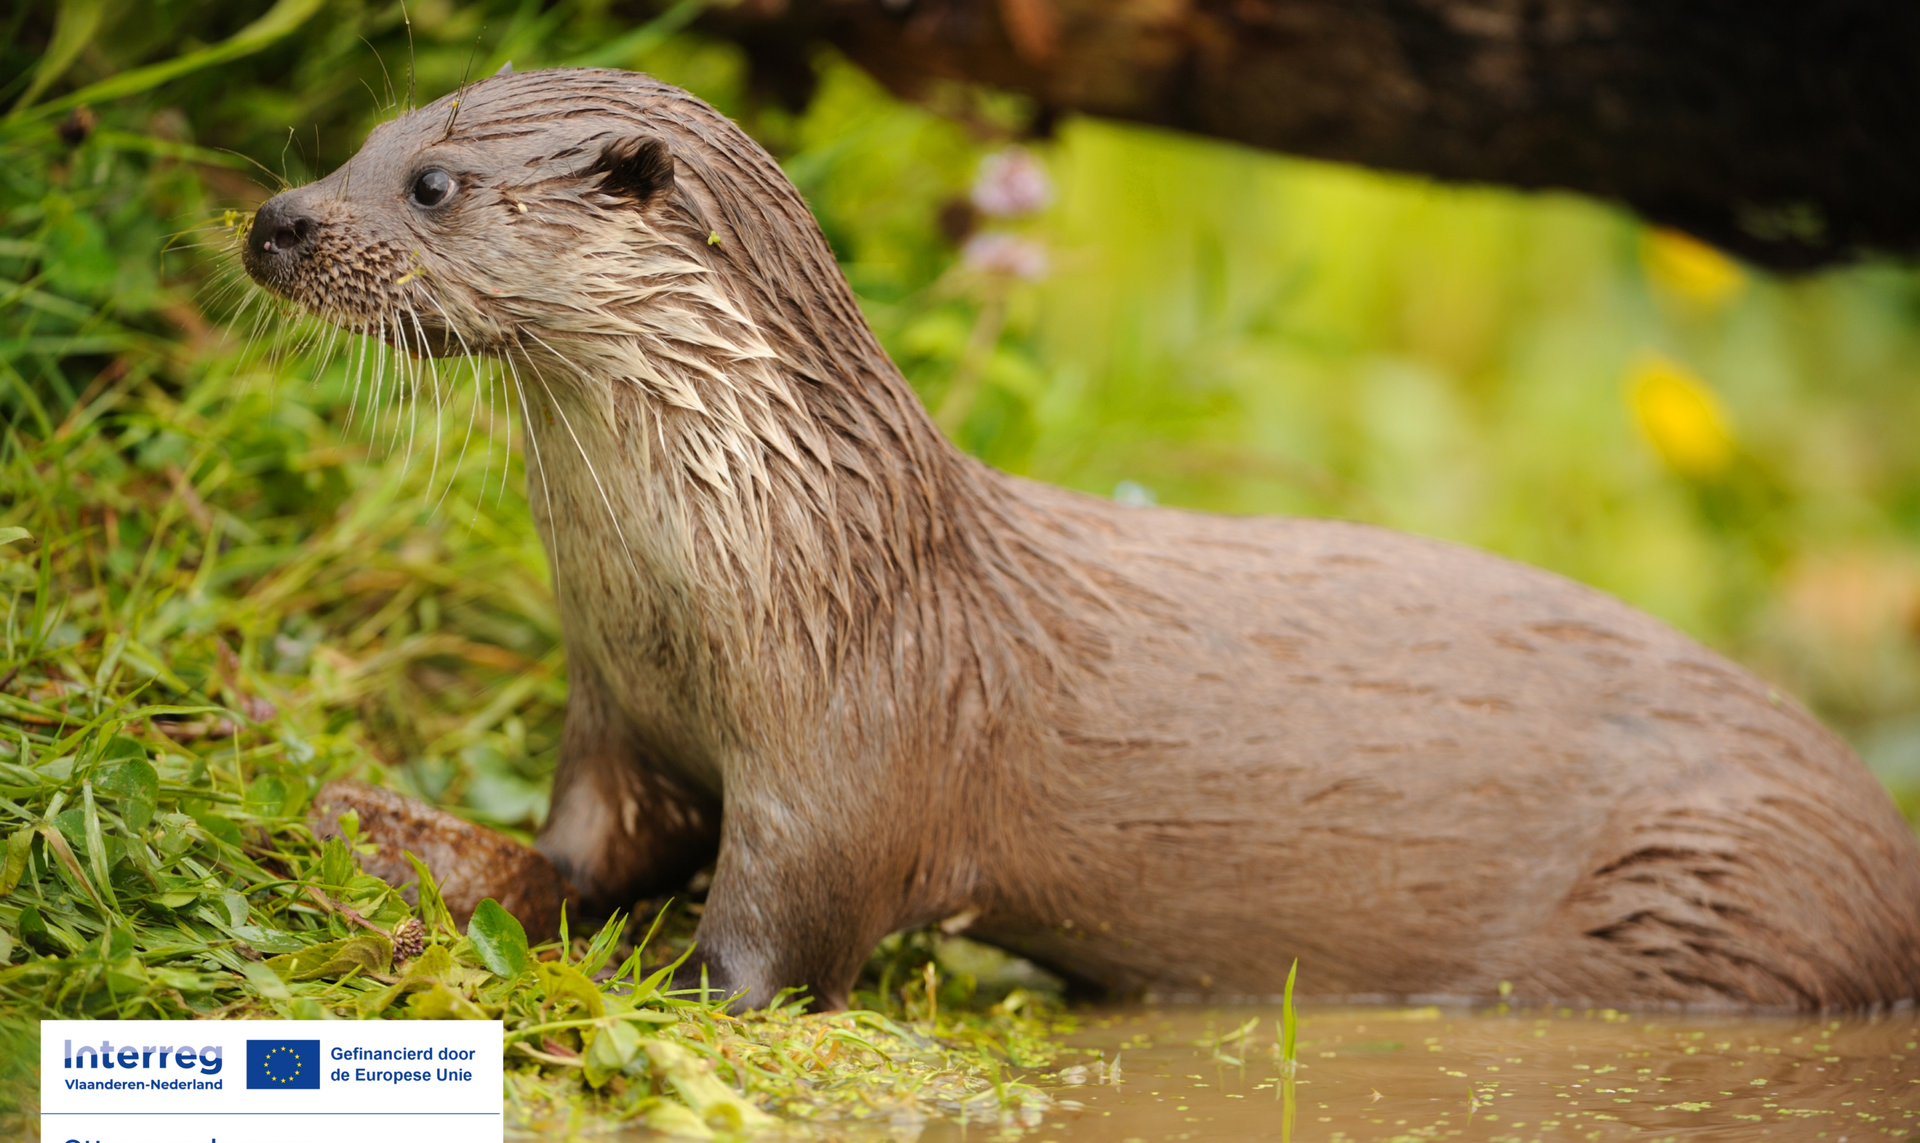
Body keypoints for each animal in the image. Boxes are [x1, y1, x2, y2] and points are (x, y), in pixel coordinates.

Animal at [243, 68, 1920, 1011]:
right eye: (359, 143)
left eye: (435, 184)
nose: (275, 220)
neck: (772, 564)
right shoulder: (613, 707)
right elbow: (580, 851)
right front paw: (398, 842)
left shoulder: (852, 753)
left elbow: (774, 947)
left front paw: (653, 983)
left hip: (1733, 882)